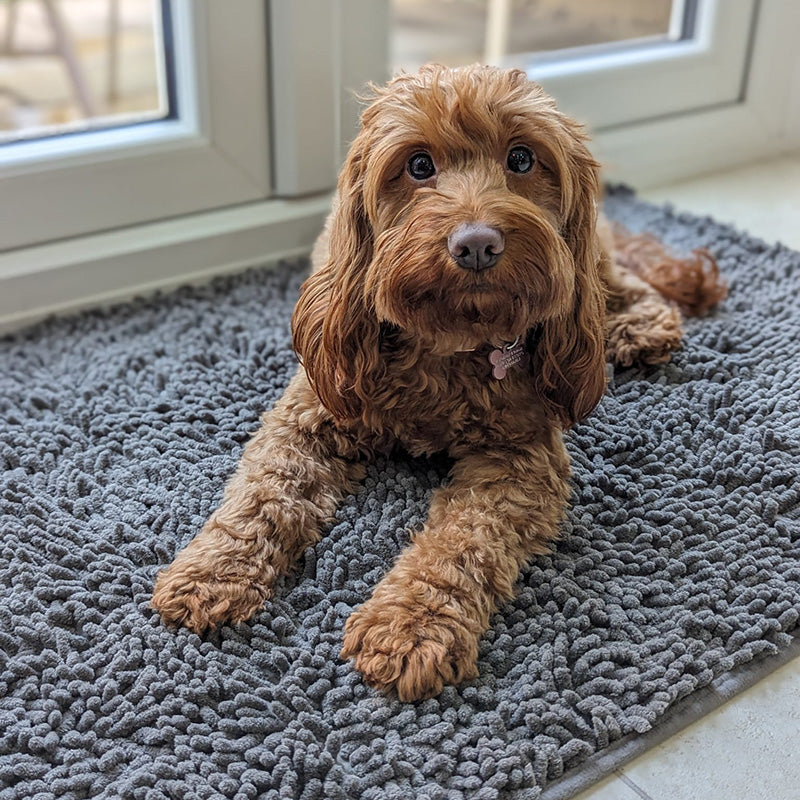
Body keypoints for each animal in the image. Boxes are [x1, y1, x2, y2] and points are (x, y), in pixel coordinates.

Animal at [150, 64, 724, 700]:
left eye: (522, 158)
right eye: (419, 165)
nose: (476, 244)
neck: (448, 349)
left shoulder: (521, 460)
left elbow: (463, 542)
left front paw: (410, 626)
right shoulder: (309, 417)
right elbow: (265, 494)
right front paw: (214, 570)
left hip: (588, 260)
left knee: (617, 281)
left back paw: (638, 326)